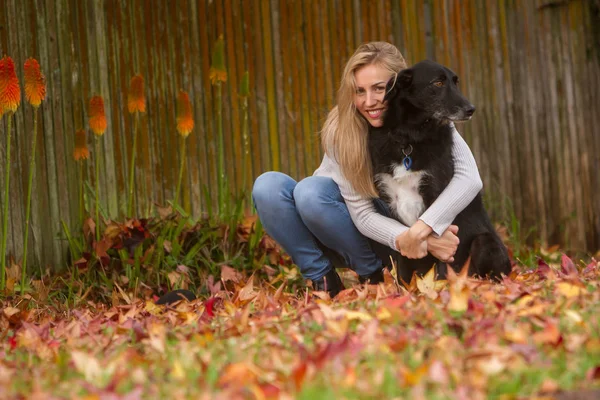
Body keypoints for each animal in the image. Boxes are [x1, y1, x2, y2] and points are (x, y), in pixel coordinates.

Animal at [370, 60, 510, 284]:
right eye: (437, 83)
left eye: (455, 82)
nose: (471, 109)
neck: (409, 138)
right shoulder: (391, 201)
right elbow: (402, 262)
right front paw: (404, 289)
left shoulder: (439, 199)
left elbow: (443, 262)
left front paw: (441, 289)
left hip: (486, 242)